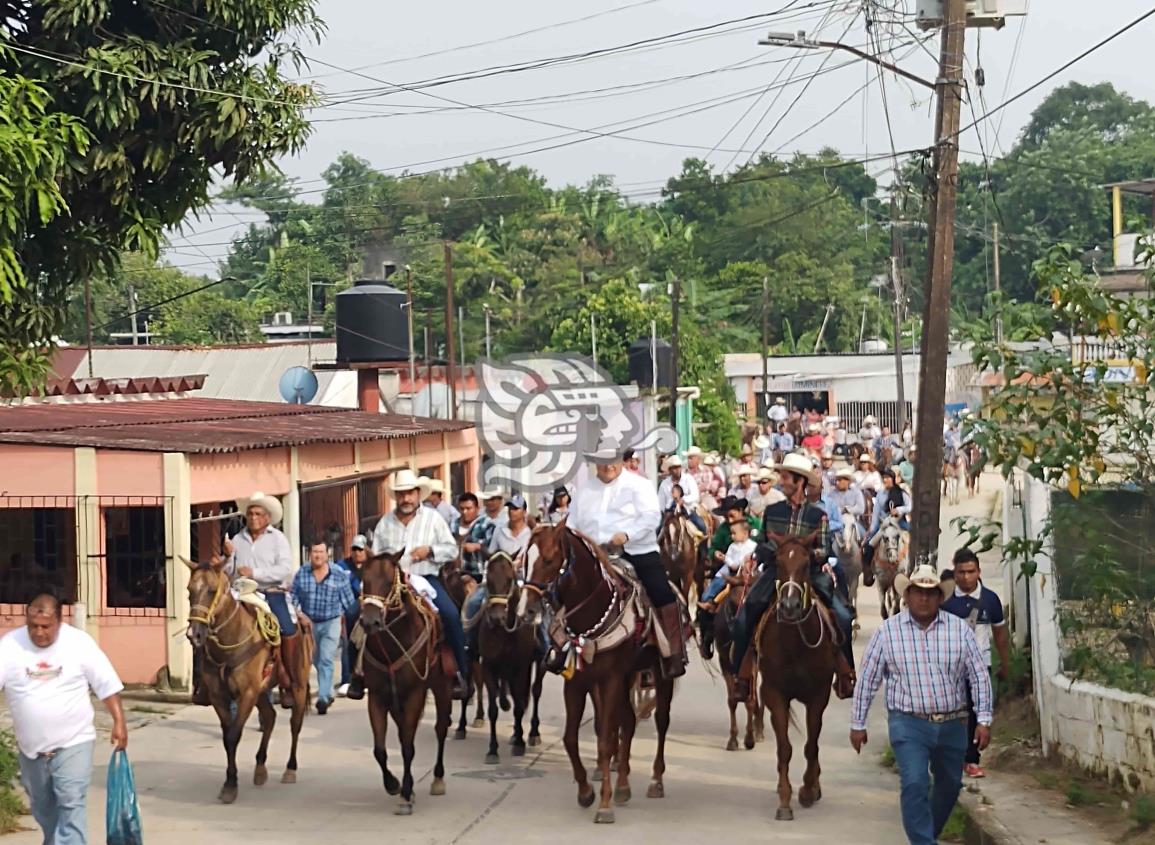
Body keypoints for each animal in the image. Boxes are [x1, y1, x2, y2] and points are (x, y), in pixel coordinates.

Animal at [181, 558, 309, 803]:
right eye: (189, 590)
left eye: (211, 590)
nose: (194, 634)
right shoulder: (220, 696)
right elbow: (226, 737)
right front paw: (229, 782)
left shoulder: (247, 693)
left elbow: (233, 736)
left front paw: (231, 785)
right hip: (261, 691)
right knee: (270, 717)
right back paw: (260, 768)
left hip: (297, 685)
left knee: (295, 724)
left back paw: (290, 769)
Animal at [360, 551, 450, 817]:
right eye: (364, 580)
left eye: (389, 582)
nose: (370, 622)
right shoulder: (377, 697)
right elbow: (380, 749)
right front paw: (393, 784)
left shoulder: (415, 694)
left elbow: (408, 746)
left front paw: (406, 794)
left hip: (442, 687)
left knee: (441, 728)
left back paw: (438, 778)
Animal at [471, 551, 542, 761]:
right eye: (489, 579)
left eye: (510, 579)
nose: (496, 618)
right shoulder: (489, 665)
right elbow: (493, 709)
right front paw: (492, 749)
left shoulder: (522, 667)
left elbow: (520, 704)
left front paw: (519, 743)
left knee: (534, 692)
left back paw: (532, 734)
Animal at [517, 524, 674, 821]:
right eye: (524, 561)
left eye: (548, 560)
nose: (525, 611)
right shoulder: (577, 682)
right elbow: (571, 738)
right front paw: (586, 791)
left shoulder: (610, 680)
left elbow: (604, 741)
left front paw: (604, 805)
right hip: (627, 678)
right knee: (629, 721)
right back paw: (623, 785)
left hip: (661, 675)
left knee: (661, 722)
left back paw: (656, 781)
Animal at [753, 535, 836, 817]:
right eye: (777, 562)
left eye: (806, 563)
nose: (789, 606)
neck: (795, 643)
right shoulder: (774, 694)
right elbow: (784, 749)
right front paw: (785, 801)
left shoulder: (819, 696)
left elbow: (812, 745)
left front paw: (808, 790)